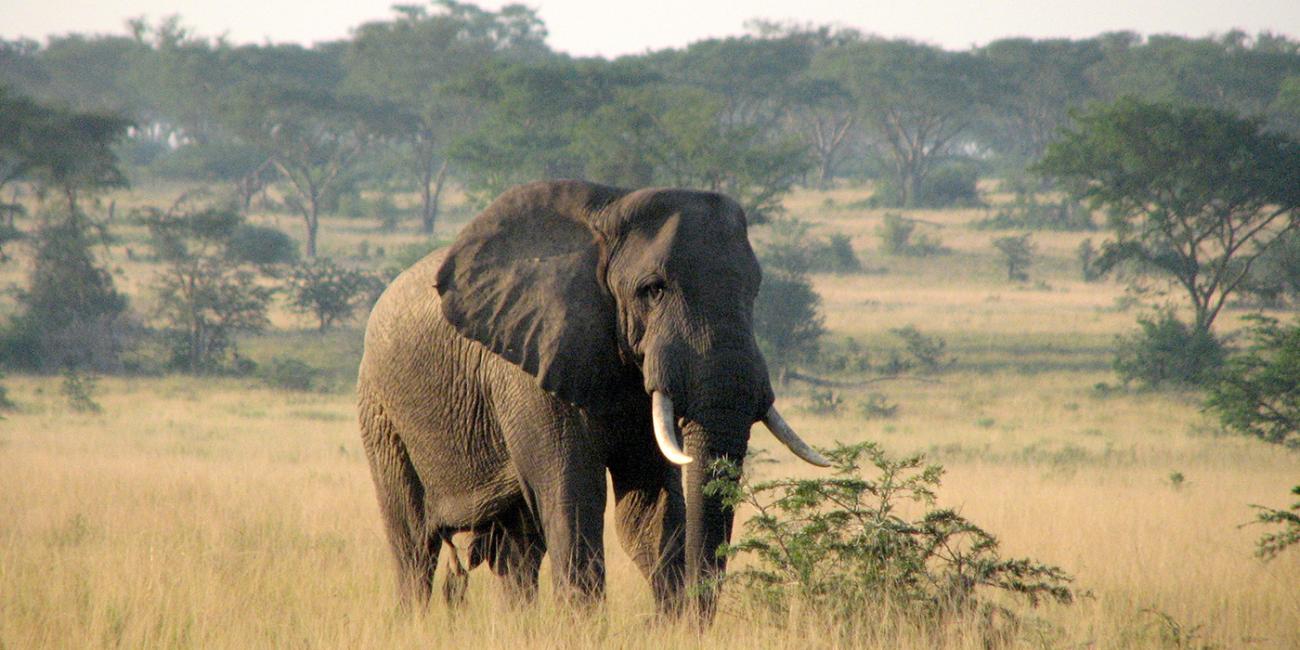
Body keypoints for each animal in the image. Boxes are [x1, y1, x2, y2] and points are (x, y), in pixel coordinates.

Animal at [356, 179, 821, 618]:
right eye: (653, 290)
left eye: (755, 291)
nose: (692, 614)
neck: (609, 213)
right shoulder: (531, 367)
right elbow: (573, 494)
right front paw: (584, 628)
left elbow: (648, 510)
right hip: (380, 412)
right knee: (414, 544)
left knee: (516, 551)